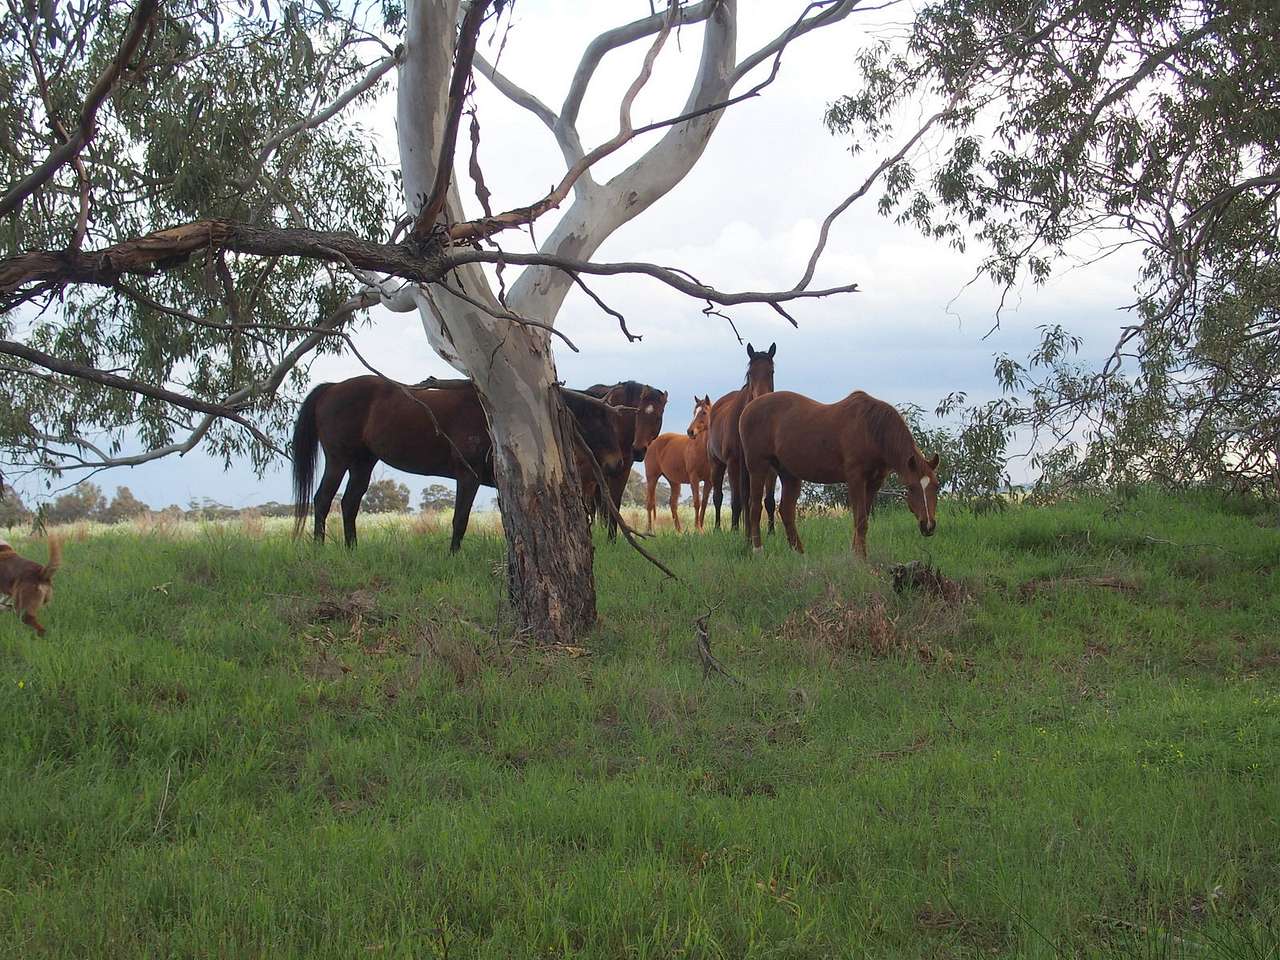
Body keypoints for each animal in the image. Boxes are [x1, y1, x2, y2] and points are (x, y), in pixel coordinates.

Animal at [291, 376, 630, 551]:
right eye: (594, 420)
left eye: (614, 423)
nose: (616, 464)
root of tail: (332, 387)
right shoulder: (468, 477)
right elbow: (460, 520)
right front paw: (453, 555)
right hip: (339, 459)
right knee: (323, 500)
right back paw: (319, 549)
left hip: (363, 463)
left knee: (349, 504)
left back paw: (352, 549)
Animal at [642, 395, 712, 532]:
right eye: (694, 412)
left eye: (704, 412)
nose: (690, 432)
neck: (701, 448)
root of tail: (652, 442)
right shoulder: (694, 478)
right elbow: (697, 502)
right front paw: (697, 528)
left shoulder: (709, 480)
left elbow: (704, 504)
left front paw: (701, 528)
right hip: (652, 478)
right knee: (649, 503)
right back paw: (650, 530)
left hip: (674, 482)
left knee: (673, 504)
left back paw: (679, 531)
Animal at [706, 342, 777, 533]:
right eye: (750, 372)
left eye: (771, 372)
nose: (761, 400)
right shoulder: (734, 463)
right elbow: (736, 501)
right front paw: (734, 531)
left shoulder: (769, 466)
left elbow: (769, 501)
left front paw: (771, 532)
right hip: (717, 464)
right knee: (718, 497)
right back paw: (718, 528)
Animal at [739, 388, 940, 558]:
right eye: (911, 488)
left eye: (936, 487)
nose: (928, 526)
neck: (870, 429)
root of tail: (747, 409)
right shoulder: (855, 479)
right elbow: (860, 520)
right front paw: (860, 557)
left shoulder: (874, 482)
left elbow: (862, 519)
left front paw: (856, 553)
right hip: (758, 467)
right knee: (755, 507)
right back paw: (758, 550)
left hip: (789, 474)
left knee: (786, 510)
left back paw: (800, 554)